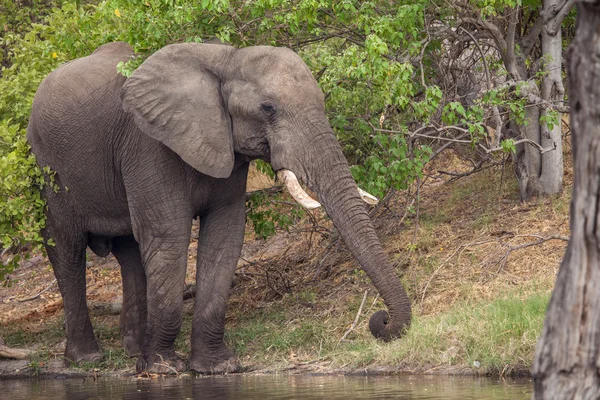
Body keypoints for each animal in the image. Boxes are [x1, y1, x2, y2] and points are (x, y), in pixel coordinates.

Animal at [28, 39, 412, 374]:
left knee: (130, 253)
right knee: (67, 249)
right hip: (46, 165)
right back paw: (87, 359)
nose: (380, 320)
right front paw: (164, 369)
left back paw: (134, 351)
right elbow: (170, 235)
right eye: (268, 109)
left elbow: (225, 236)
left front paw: (216, 367)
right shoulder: (148, 145)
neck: (227, 59)